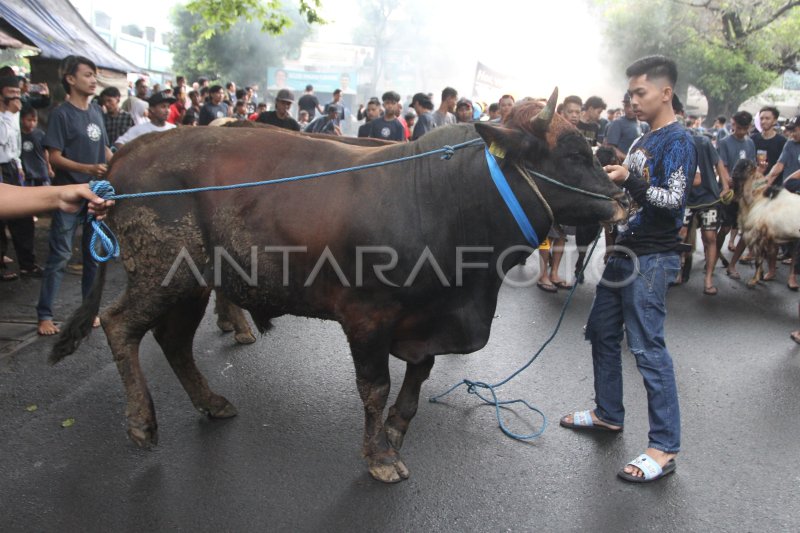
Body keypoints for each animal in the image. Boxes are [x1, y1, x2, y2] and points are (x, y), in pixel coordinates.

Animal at [56, 90, 632, 482]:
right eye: (574, 153)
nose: (623, 195)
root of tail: (123, 158)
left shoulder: (426, 317)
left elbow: (418, 377)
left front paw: (397, 430)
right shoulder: (368, 317)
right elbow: (374, 386)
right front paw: (379, 455)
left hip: (193, 283)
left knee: (173, 340)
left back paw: (212, 402)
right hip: (162, 272)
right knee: (119, 324)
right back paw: (142, 423)